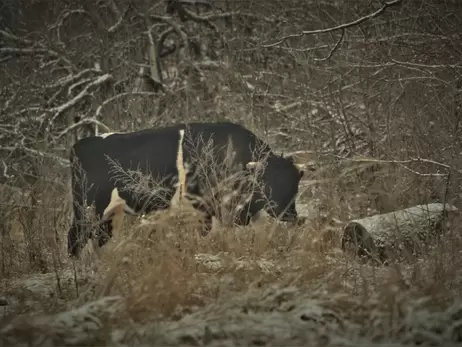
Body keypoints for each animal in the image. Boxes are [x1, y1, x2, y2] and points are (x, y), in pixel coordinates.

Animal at [67, 122, 304, 258]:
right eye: (268, 184)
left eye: (295, 186)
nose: (292, 216)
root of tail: (79, 145)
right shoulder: (208, 206)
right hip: (87, 208)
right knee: (75, 238)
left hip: (110, 213)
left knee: (100, 239)